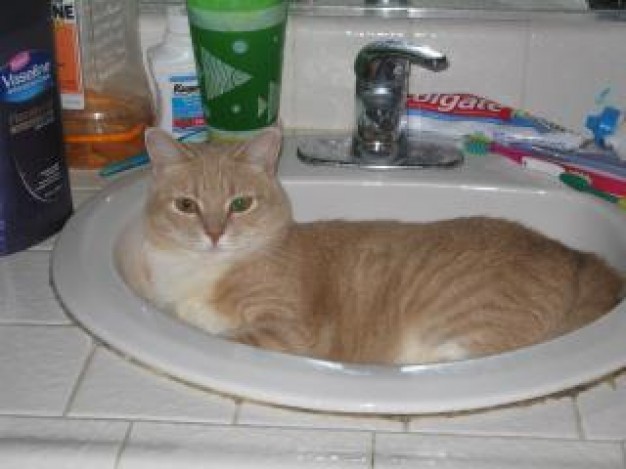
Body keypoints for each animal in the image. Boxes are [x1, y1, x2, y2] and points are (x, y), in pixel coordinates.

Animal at [116, 127, 620, 366]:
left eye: (240, 204)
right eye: (186, 205)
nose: (215, 234)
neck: (204, 270)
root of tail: (576, 257)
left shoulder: (285, 331)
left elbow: (228, 334)